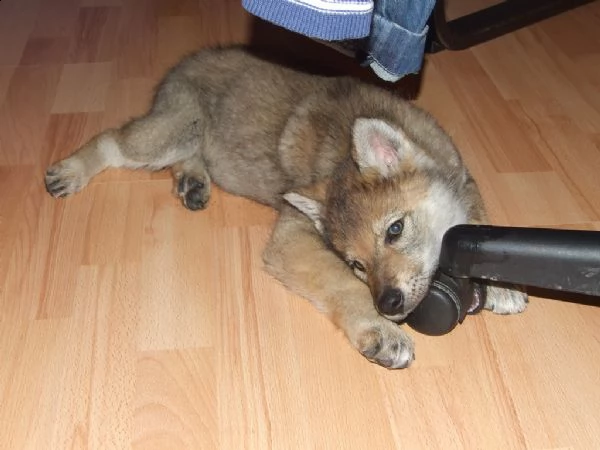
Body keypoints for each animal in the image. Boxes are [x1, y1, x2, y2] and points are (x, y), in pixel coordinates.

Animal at [45, 45, 524, 370]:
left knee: (186, 157)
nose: (388, 303)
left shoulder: (465, 181)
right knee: (111, 141)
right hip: (171, 131)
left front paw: (499, 284)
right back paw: (71, 170)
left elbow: (476, 226)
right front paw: (379, 330)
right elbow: (342, 288)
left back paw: (192, 182)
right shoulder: (291, 238)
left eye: (395, 230)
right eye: (356, 264)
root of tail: (188, 60)